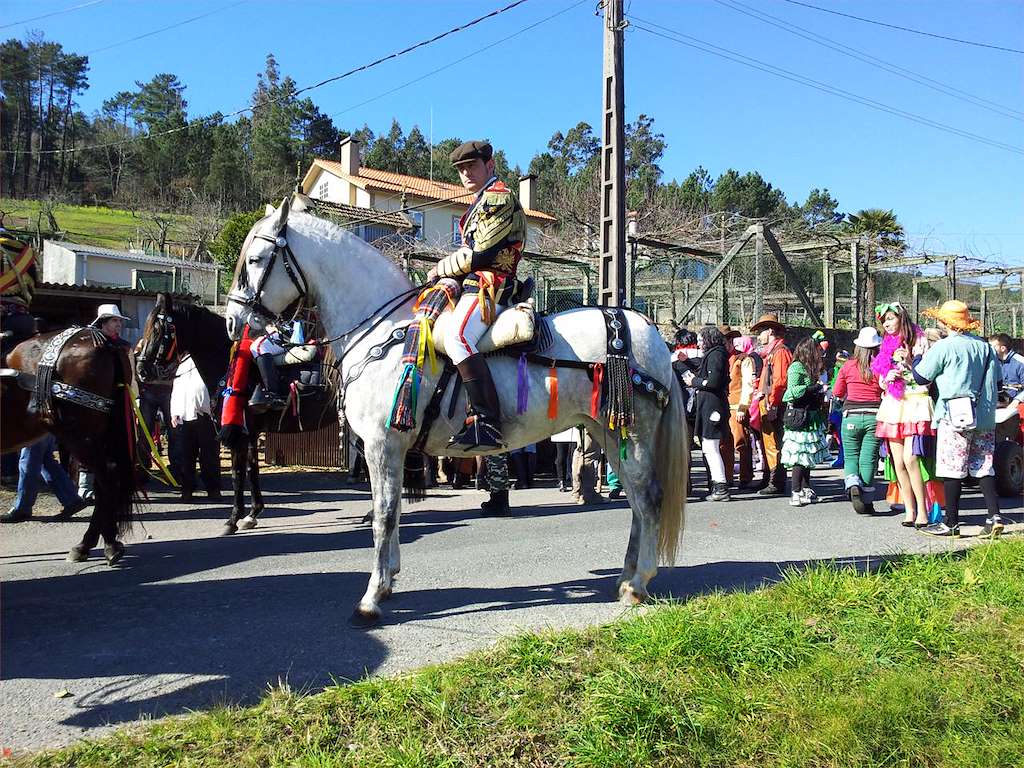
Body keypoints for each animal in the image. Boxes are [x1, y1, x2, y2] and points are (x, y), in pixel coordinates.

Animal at [224, 198, 688, 626]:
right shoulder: (388, 450)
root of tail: (644, 330)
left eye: (256, 259)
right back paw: (625, 578)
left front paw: (371, 598)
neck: (382, 331)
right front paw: (388, 582)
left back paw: (638, 583)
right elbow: (392, 512)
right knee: (635, 502)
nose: (233, 322)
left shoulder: (381, 446)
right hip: (610, 434)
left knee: (648, 499)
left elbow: (383, 516)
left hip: (633, 437)